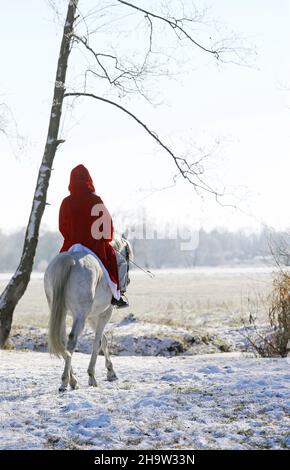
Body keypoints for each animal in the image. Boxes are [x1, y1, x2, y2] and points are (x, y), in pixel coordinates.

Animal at [44, 237, 133, 392]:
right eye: (127, 257)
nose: (127, 281)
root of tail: (70, 258)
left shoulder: (91, 317)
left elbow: (103, 340)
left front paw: (111, 372)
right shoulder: (105, 313)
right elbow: (98, 342)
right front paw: (92, 376)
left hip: (61, 311)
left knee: (63, 341)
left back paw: (72, 380)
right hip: (80, 315)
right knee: (72, 340)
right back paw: (65, 381)